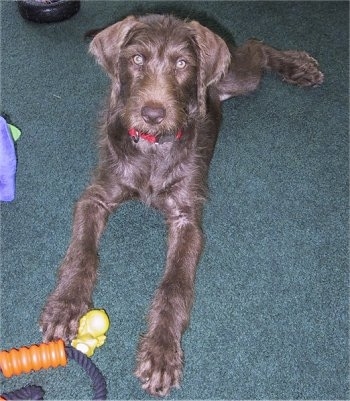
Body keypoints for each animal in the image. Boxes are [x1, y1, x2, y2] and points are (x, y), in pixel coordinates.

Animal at [40, 14, 322, 396]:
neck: (152, 147)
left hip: (240, 76)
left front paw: (161, 352)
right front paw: (65, 306)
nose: (152, 114)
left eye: (182, 64)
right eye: (137, 59)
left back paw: (298, 66)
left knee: (257, 47)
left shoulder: (187, 219)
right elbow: (81, 253)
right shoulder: (96, 196)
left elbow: (174, 286)